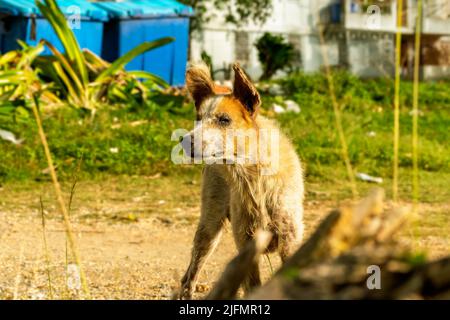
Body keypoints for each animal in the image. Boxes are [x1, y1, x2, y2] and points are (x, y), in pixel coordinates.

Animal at [178, 63, 304, 300]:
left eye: (224, 119)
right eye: (198, 118)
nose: (184, 141)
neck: (254, 178)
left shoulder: (290, 237)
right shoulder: (245, 240)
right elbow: (252, 284)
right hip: (209, 226)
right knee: (191, 273)